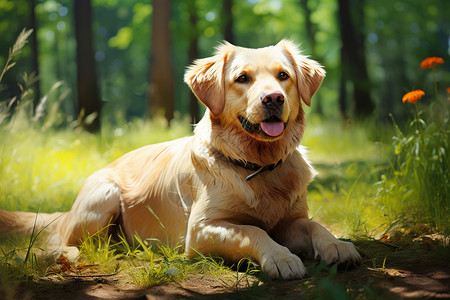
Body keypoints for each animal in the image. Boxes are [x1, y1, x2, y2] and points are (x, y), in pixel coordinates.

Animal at [0, 39, 360, 278]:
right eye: (242, 78)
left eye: (283, 76)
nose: (273, 98)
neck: (258, 166)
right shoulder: (200, 230)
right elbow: (253, 231)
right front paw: (281, 258)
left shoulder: (290, 220)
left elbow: (314, 225)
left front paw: (338, 245)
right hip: (103, 197)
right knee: (64, 240)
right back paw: (70, 255)